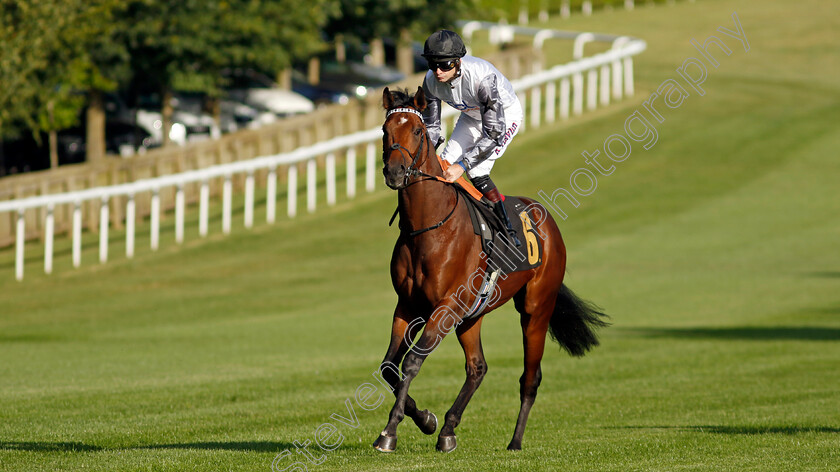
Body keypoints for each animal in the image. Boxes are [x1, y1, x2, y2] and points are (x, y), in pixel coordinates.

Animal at [378, 86, 608, 452]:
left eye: (415, 130)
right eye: (386, 131)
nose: (395, 172)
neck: (429, 227)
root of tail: (547, 222)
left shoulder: (445, 306)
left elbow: (412, 362)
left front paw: (390, 431)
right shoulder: (409, 305)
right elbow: (389, 368)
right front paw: (427, 419)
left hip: (535, 310)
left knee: (530, 377)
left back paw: (515, 440)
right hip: (471, 316)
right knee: (478, 367)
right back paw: (448, 429)